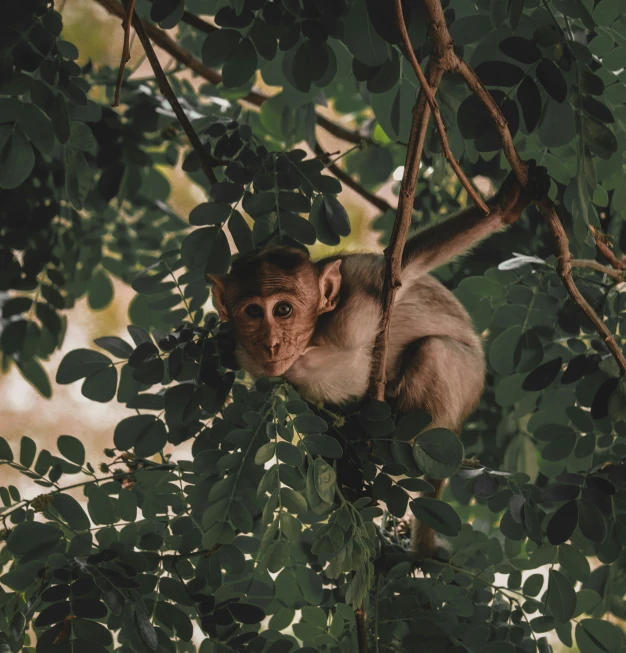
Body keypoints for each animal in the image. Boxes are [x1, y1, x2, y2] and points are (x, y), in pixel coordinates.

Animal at [207, 163, 544, 556]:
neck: (311, 345)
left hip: (464, 384)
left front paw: (505, 204)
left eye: (283, 310)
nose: (271, 344)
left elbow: (407, 266)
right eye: (252, 312)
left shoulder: (357, 298)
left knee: (436, 352)